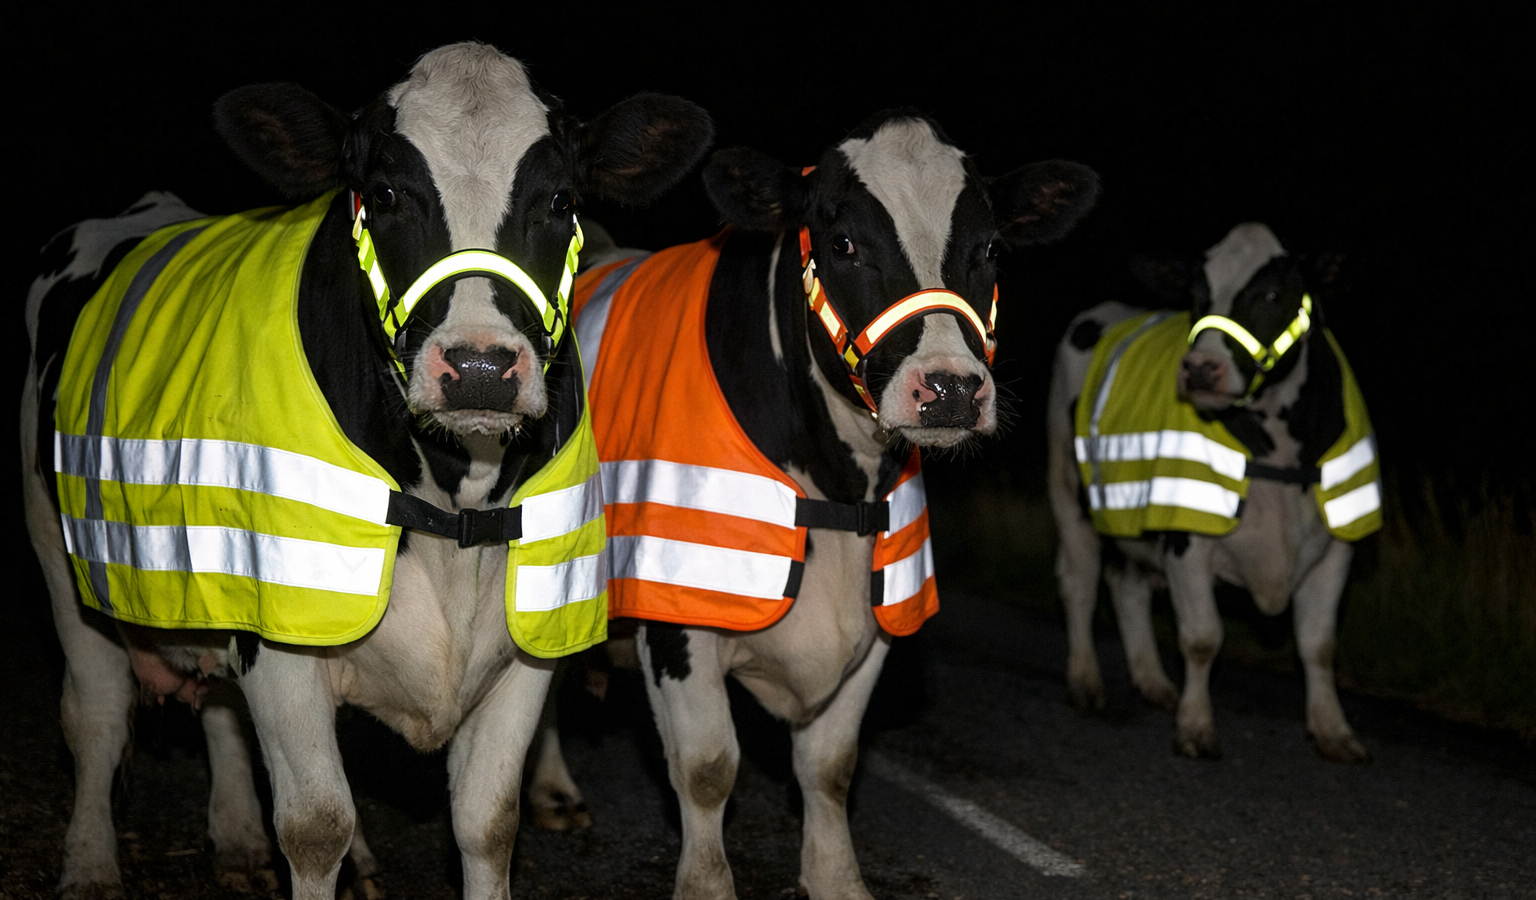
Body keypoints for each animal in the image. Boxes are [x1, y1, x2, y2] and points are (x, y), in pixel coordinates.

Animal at [21, 42, 712, 900]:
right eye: (384, 193)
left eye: (560, 198)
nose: (479, 368)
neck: (453, 498)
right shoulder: (283, 634)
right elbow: (318, 825)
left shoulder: (526, 641)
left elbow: (488, 823)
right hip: (59, 556)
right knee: (96, 716)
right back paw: (90, 866)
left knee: (217, 710)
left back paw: (239, 840)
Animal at [560, 111, 1098, 899]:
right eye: (844, 244)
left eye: (990, 249)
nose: (951, 388)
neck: (836, 489)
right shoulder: (678, 614)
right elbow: (707, 768)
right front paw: (707, 885)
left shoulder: (878, 614)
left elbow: (830, 768)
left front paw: (837, 879)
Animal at [1047, 222, 1381, 763]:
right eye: (1195, 295)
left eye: (1272, 294)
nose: (1201, 368)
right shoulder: (1187, 532)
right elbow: (1202, 638)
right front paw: (1196, 727)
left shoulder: (1339, 543)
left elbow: (1319, 646)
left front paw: (1334, 730)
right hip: (1067, 489)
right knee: (1079, 581)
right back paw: (1086, 682)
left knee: (1126, 583)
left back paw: (1153, 681)